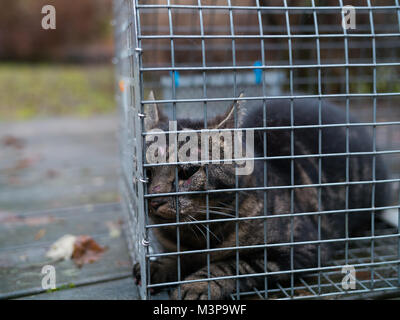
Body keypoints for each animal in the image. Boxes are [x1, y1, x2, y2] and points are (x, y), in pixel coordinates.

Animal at [133, 93, 390, 300]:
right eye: (147, 172)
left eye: (188, 171)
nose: (155, 199)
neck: (197, 238)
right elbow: (176, 257)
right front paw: (155, 267)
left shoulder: (301, 247)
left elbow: (232, 264)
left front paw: (197, 284)